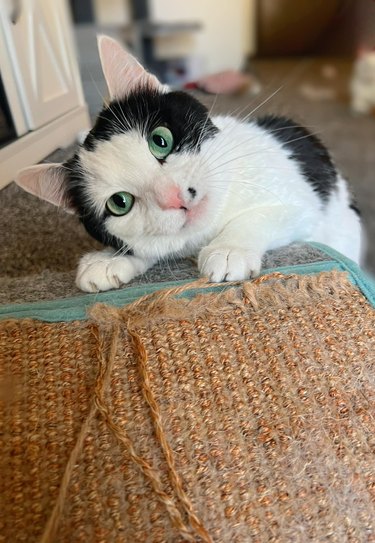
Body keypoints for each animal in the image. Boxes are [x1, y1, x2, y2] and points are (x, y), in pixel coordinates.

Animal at [15, 35, 364, 292]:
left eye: (161, 141)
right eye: (120, 203)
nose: (174, 197)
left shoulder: (300, 199)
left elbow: (271, 212)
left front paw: (230, 249)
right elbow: (154, 247)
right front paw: (108, 260)